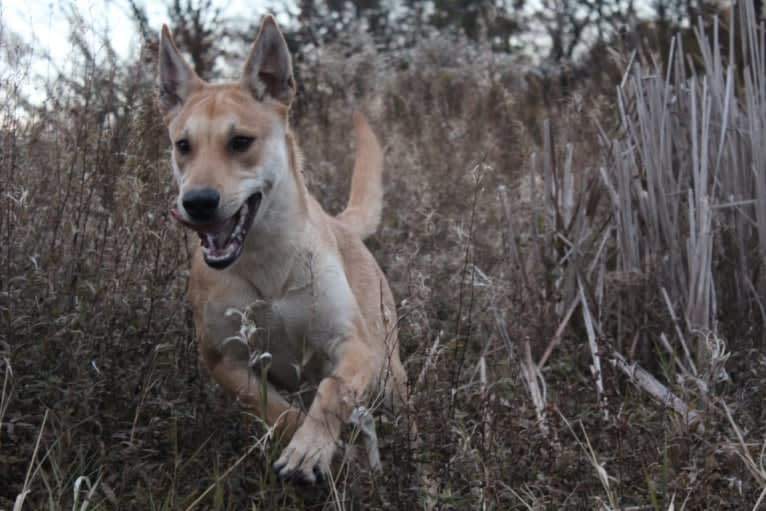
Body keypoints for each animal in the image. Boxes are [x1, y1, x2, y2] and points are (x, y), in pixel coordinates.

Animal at [154, 13, 408, 484]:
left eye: (240, 142)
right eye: (183, 146)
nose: (198, 202)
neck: (267, 259)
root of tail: (341, 223)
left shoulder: (355, 347)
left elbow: (333, 391)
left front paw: (311, 449)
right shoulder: (225, 361)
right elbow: (276, 410)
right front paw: (326, 451)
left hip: (391, 374)